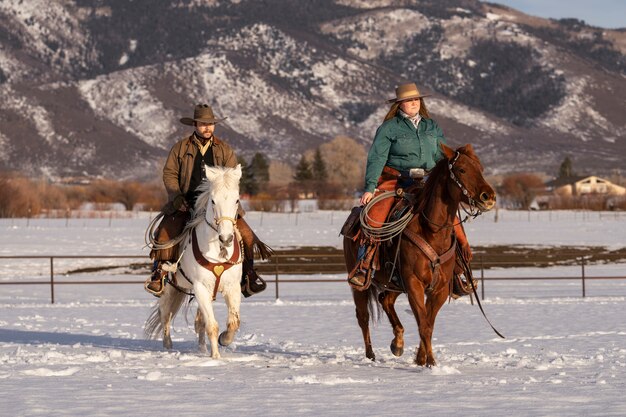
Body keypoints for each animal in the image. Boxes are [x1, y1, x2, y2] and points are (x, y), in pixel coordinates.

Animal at [146, 164, 244, 356]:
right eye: (212, 201)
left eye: (236, 200)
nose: (226, 238)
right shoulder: (201, 288)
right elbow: (212, 326)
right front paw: (215, 357)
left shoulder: (232, 287)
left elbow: (233, 323)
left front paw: (224, 340)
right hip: (169, 287)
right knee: (165, 314)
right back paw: (168, 346)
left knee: (198, 322)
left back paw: (202, 348)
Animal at [344, 145, 494, 366]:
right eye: (462, 170)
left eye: (480, 168)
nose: (488, 197)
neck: (432, 231)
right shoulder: (414, 283)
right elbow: (423, 323)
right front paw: (430, 362)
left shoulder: (439, 288)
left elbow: (429, 323)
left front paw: (421, 359)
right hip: (361, 285)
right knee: (363, 316)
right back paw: (371, 356)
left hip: (394, 282)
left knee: (385, 299)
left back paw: (397, 342)